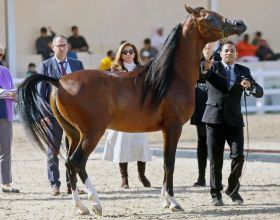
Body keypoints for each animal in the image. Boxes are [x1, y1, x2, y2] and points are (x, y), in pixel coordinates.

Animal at [17, 4, 246, 215]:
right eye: (209, 17)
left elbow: (166, 163)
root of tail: (59, 82)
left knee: (68, 164)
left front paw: (165, 200)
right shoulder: (174, 127)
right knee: (77, 161)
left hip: (73, 133)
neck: (172, 78)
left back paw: (81, 207)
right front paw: (173, 202)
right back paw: (96, 203)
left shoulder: (166, 129)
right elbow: (170, 163)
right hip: (92, 133)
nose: (239, 23)